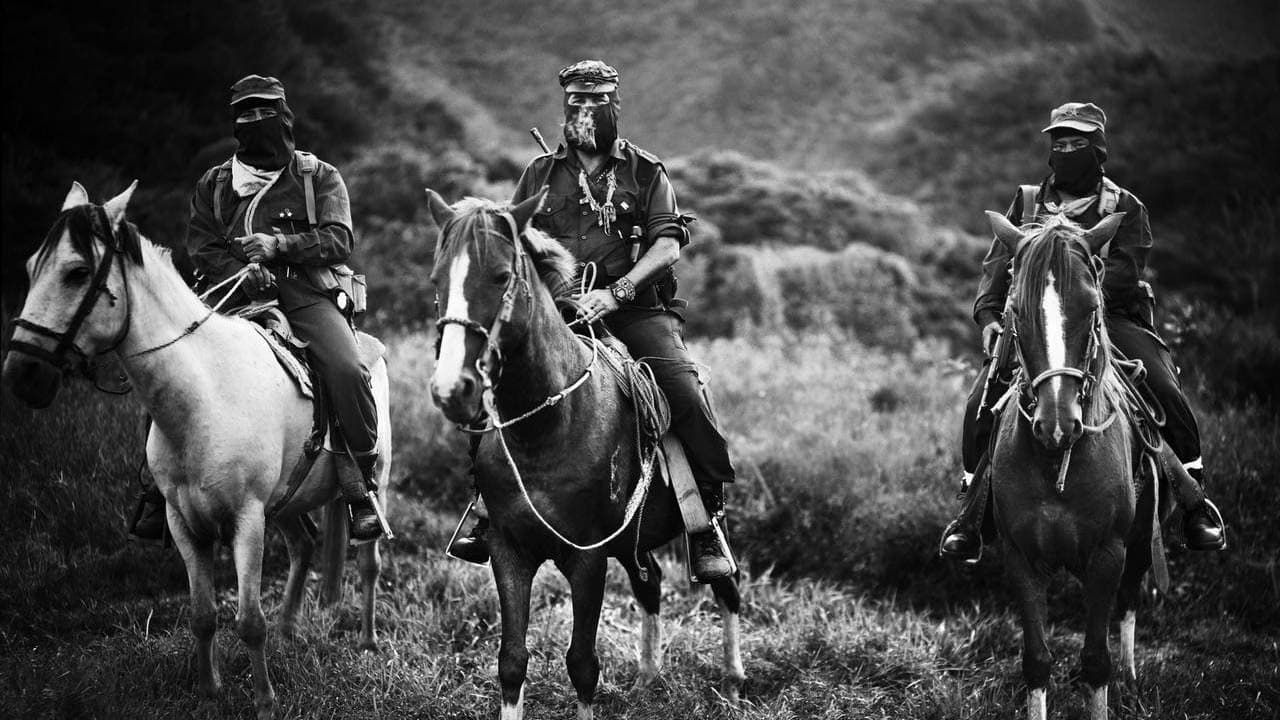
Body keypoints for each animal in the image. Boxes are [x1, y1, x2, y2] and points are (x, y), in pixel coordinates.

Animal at [1, 181, 389, 712]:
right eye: (28, 269)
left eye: (77, 272)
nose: (23, 374)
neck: (205, 395)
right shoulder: (182, 521)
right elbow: (202, 615)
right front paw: (210, 691)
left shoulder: (246, 520)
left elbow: (249, 621)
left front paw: (264, 702)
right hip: (286, 502)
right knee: (304, 545)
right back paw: (289, 632)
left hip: (374, 482)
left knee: (368, 561)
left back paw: (367, 640)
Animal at [424, 190, 747, 717]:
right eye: (437, 280)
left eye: (501, 276)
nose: (452, 388)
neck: (546, 427)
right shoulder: (508, 551)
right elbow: (511, 660)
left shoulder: (587, 558)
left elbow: (582, 664)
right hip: (631, 541)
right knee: (650, 583)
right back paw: (648, 677)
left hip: (697, 529)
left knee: (727, 586)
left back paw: (734, 680)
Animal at [988, 208, 1177, 717]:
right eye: (1016, 311)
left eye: (1092, 308)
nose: (1057, 424)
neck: (1057, 463)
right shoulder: (1019, 557)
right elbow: (1036, 660)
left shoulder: (1107, 554)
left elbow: (1095, 662)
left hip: (1139, 541)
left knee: (1128, 600)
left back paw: (1130, 677)